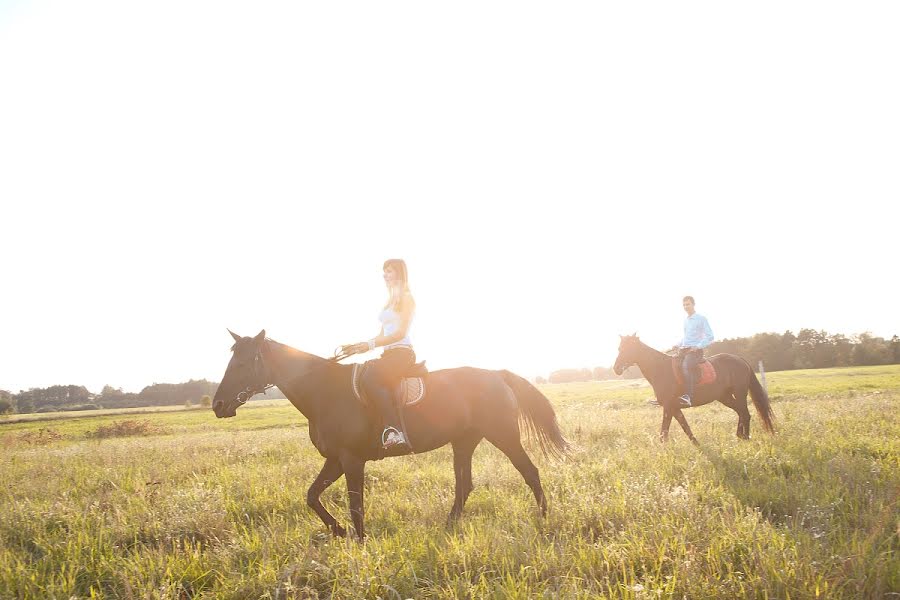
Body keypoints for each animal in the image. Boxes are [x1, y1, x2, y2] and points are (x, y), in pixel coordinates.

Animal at [209, 330, 568, 540]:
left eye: (242, 363)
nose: (218, 405)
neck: (325, 391)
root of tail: (497, 374)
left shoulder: (352, 460)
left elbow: (356, 504)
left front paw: (360, 541)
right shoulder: (335, 460)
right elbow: (311, 496)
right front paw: (340, 531)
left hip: (504, 436)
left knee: (530, 472)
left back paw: (544, 520)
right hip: (463, 442)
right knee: (464, 485)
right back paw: (449, 526)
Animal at [612, 336, 772, 442]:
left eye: (629, 349)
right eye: (619, 348)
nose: (616, 369)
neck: (661, 369)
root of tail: (740, 360)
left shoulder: (668, 407)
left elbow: (664, 432)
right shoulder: (674, 408)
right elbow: (685, 427)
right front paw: (696, 444)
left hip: (739, 393)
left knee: (745, 413)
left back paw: (746, 437)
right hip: (725, 397)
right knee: (740, 412)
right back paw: (739, 436)